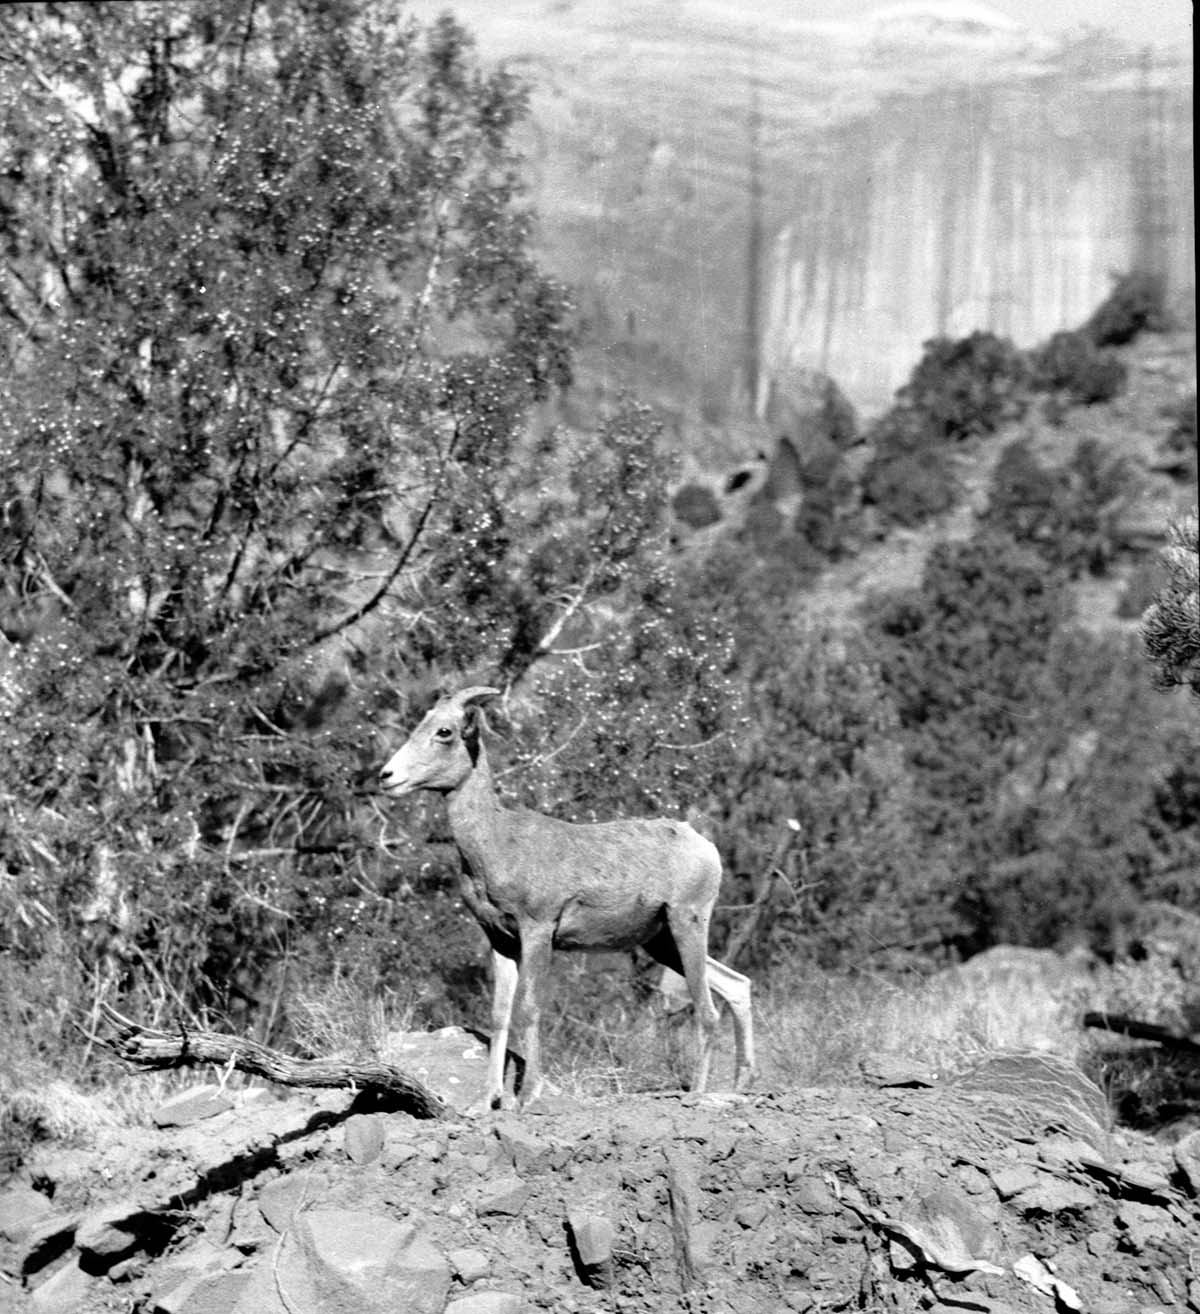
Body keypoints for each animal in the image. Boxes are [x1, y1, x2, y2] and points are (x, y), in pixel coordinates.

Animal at [379, 686, 756, 1109]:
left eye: (444, 731)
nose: (387, 776)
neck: (494, 844)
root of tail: (704, 845)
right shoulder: (501, 941)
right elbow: (499, 1015)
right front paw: (486, 1102)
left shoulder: (538, 932)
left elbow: (528, 1008)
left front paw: (526, 1098)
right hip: (661, 941)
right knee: (736, 985)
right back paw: (742, 1084)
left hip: (686, 924)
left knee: (707, 1011)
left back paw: (699, 1094)